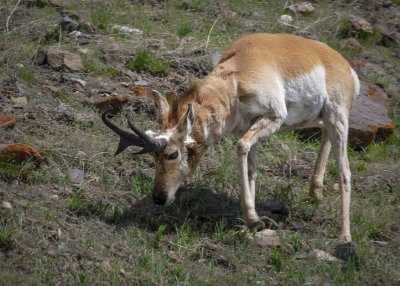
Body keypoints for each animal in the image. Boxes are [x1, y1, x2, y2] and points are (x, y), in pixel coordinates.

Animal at [103, 34, 360, 244]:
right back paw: (316, 191)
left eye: (172, 154)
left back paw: (345, 237)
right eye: (153, 157)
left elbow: (241, 147)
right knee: (325, 136)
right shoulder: (252, 125)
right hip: (319, 119)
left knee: (345, 171)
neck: (236, 76)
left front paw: (253, 218)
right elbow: (251, 170)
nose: (158, 198)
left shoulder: (274, 117)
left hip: (338, 116)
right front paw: (251, 224)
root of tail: (342, 63)